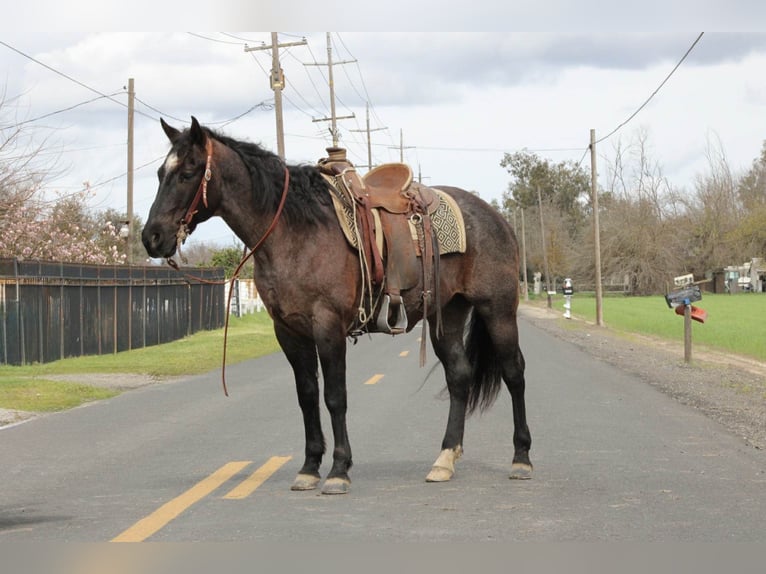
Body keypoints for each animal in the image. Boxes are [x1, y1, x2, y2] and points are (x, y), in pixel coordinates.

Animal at [142, 116, 532, 495]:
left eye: (188, 172)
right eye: (160, 173)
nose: (152, 237)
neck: (295, 233)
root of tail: (496, 218)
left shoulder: (328, 326)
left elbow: (335, 397)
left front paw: (339, 470)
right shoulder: (289, 331)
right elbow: (307, 396)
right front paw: (309, 468)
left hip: (497, 310)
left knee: (513, 372)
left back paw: (521, 459)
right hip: (447, 314)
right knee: (459, 376)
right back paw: (444, 460)